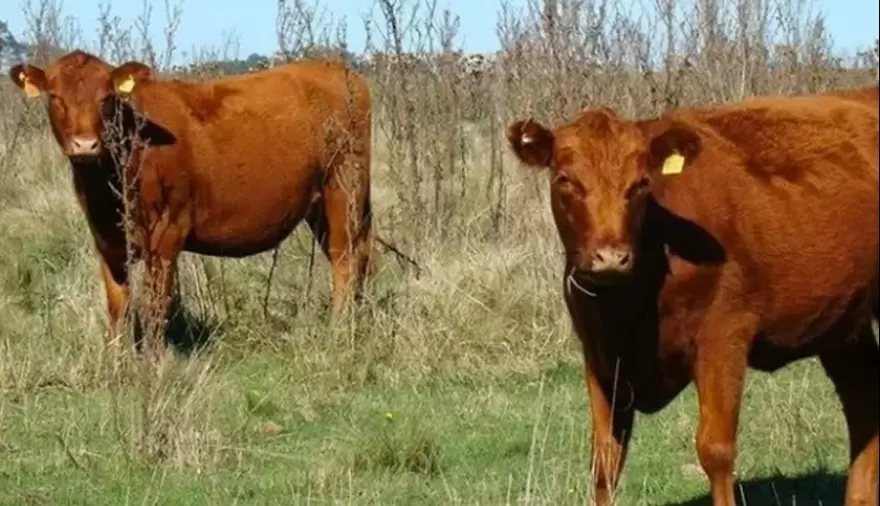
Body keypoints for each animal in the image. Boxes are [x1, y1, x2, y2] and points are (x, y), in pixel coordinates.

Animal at [10, 51, 374, 364]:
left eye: (107, 99)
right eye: (55, 97)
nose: (85, 144)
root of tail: (337, 69)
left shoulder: (167, 232)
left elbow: (156, 302)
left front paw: (154, 362)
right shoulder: (107, 240)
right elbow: (118, 303)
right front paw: (115, 363)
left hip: (343, 188)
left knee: (345, 258)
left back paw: (340, 331)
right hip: (322, 206)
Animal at [506, 87, 876, 506]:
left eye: (641, 184)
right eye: (565, 180)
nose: (611, 257)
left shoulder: (723, 337)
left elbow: (715, 450)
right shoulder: (599, 355)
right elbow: (605, 459)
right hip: (844, 322)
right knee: (864, 400)